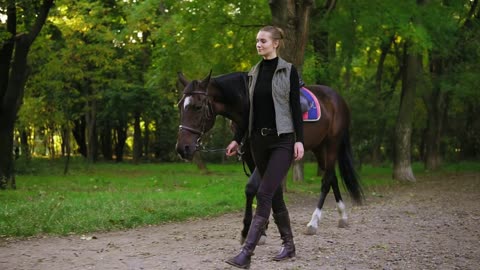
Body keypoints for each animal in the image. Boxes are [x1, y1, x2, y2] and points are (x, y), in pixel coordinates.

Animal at [176, 71, 364, 240]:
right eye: (179, 106)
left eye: (198, 107)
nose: (182, 148)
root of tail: (337, 98)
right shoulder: (251, 156)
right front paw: (262, 228)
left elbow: (252, 188)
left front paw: (248, 230)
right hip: (319, 147)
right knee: (332, 178)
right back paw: (342, 216)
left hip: (332, 145)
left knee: (326, 181)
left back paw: (314, 222)